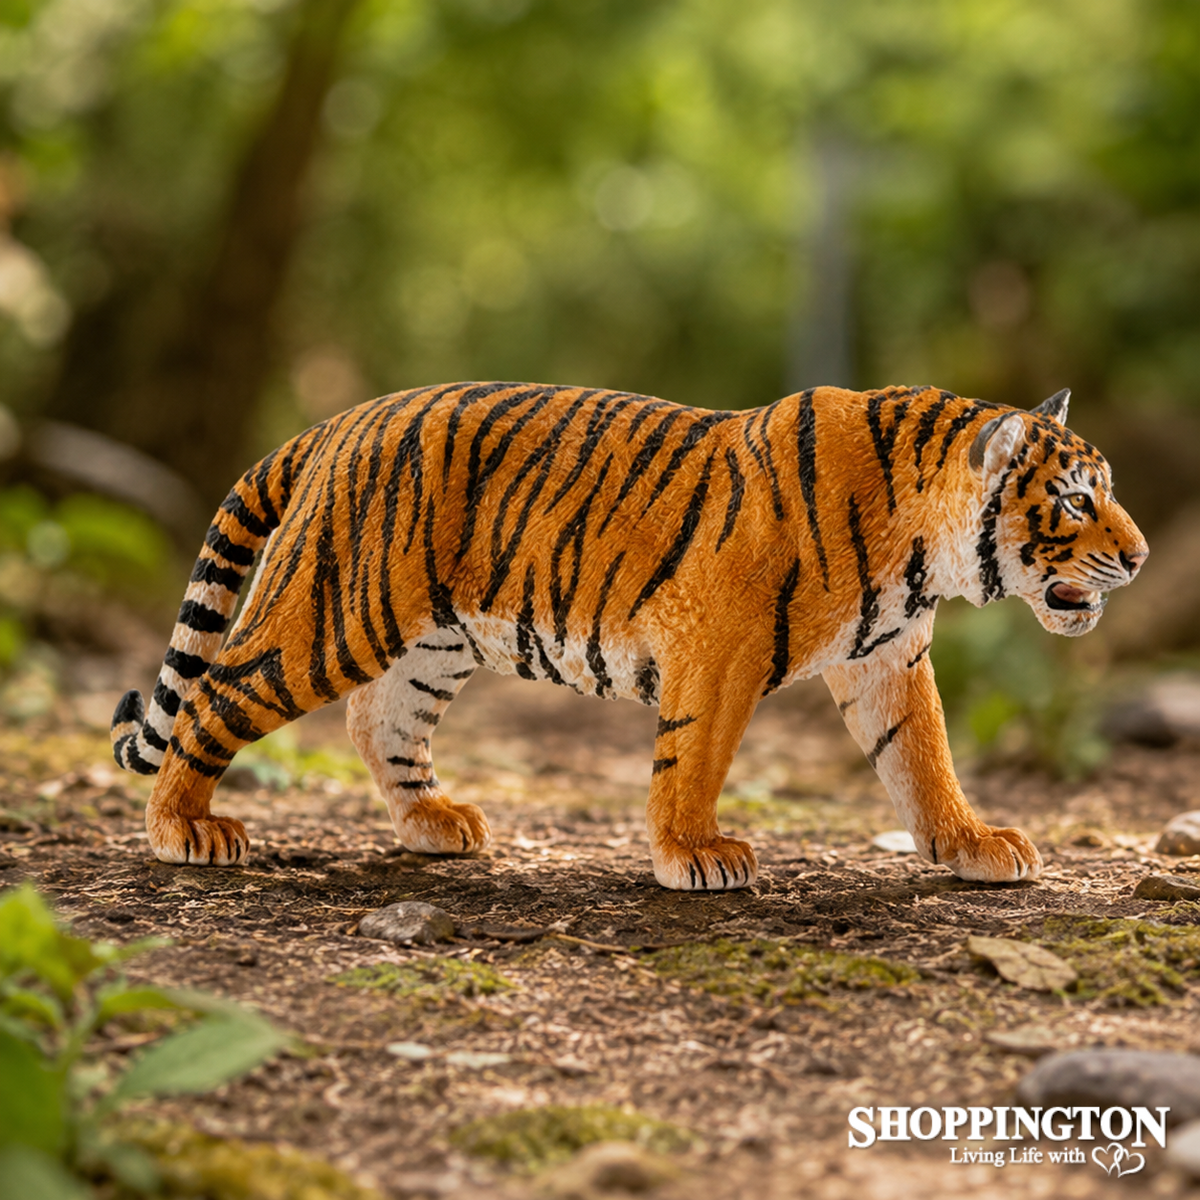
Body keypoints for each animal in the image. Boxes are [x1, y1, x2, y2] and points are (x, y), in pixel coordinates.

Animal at [110, 382, 1147, 891]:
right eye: (1076, 500)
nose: (1138, 558)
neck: (926, 554)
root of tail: (335, 421)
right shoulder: (718, 652)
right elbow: (693, 760)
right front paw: (695, 855)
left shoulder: (887, 659)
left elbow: (923, 759)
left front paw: (971, 845)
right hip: (333, 615)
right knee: (217, 691)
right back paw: (183, 830)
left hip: (435, 640)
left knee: (379, 723)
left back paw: (434, 826)